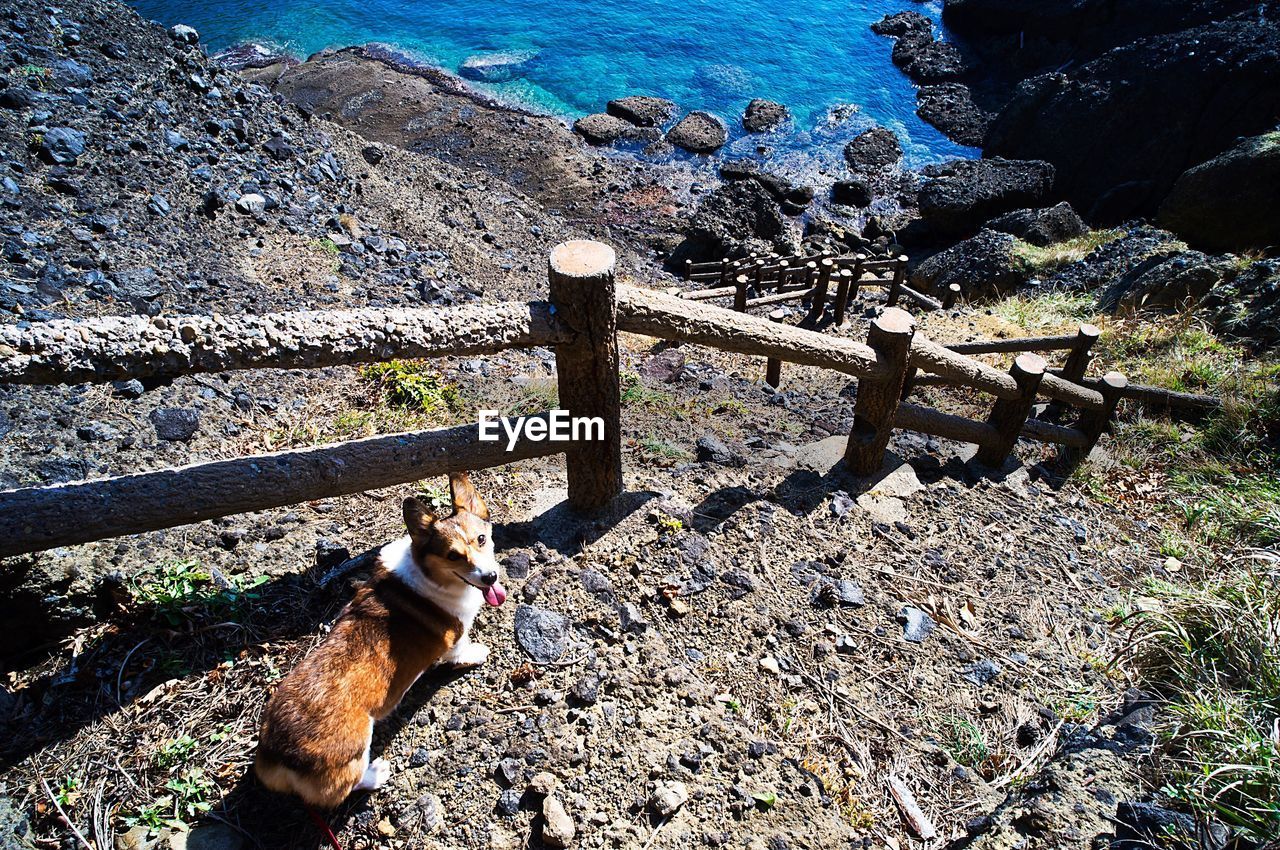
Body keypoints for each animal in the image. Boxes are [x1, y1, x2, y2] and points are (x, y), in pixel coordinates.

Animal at [252, 473, 506, 809]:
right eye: (453, 555)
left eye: (481, 539)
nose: (490, 578)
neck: (427, 573)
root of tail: (277, 757)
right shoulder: (456, 637)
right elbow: (460, 651)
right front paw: (476, 654)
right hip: (358, 744)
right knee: (345, 787)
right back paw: (376, 774)